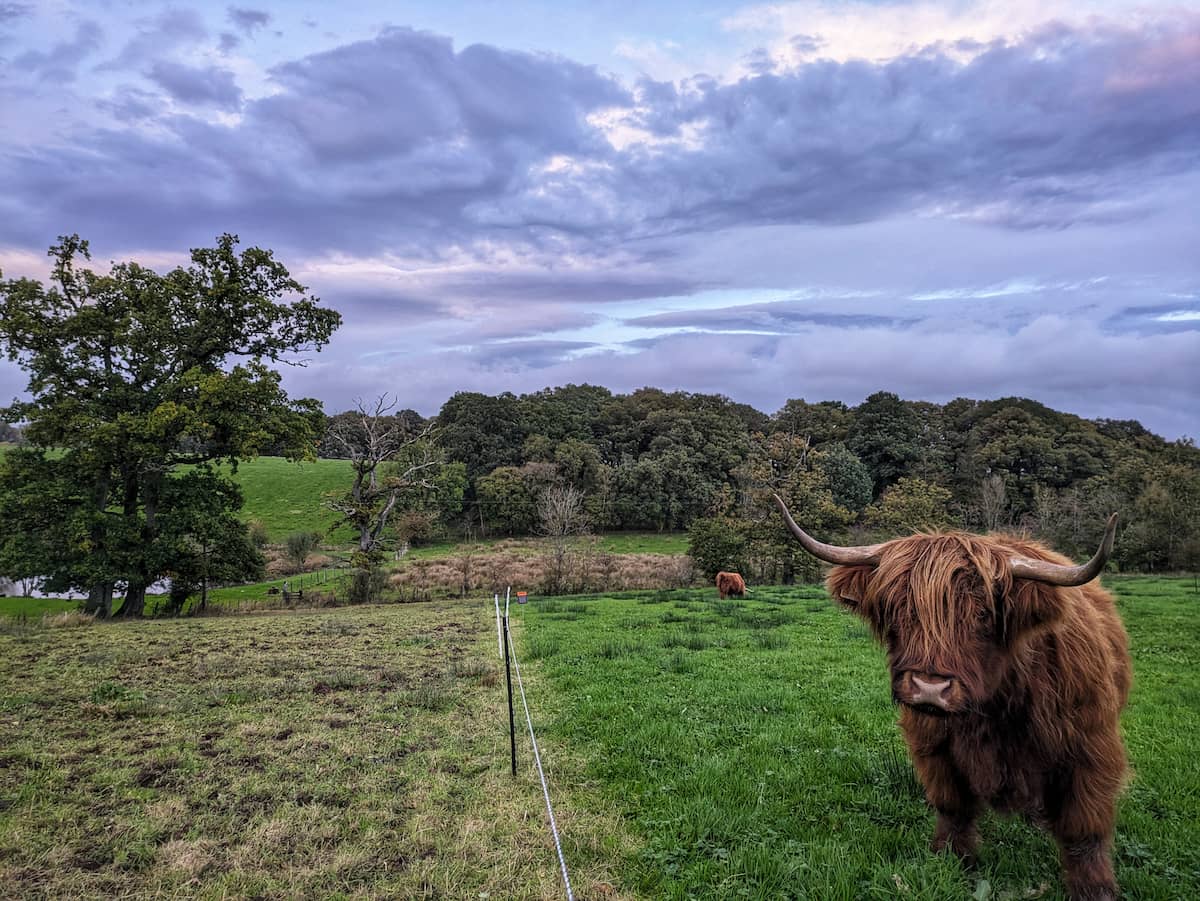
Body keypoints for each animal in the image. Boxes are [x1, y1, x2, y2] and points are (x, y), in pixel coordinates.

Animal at [774, 495, 1130, 901]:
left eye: (984, 615)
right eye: (898, 609)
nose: (930, 688)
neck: (993, 706)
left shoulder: (1089, 748)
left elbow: (1084, 826)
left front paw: (1096, 888)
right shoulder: (934, 744)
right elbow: (952, 806)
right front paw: (951, 857)